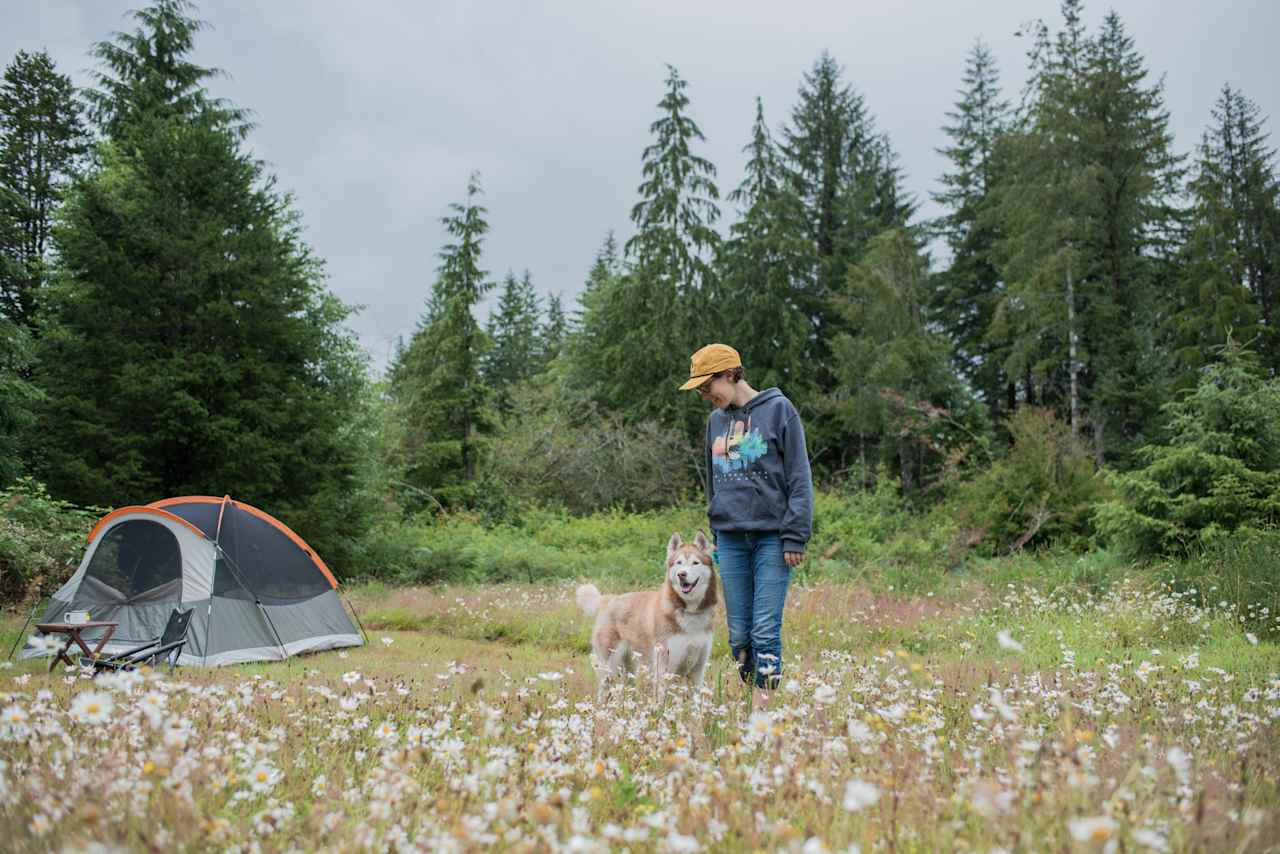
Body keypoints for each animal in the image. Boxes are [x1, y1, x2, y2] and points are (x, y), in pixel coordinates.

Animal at [578, 530, 721, 696]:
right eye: (678, 563)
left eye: (695, 563)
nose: (682, 574)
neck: (690, 613)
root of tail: (608, 599)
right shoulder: (664, 669)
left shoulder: (698, 671)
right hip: (609, 669)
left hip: (630, 670)